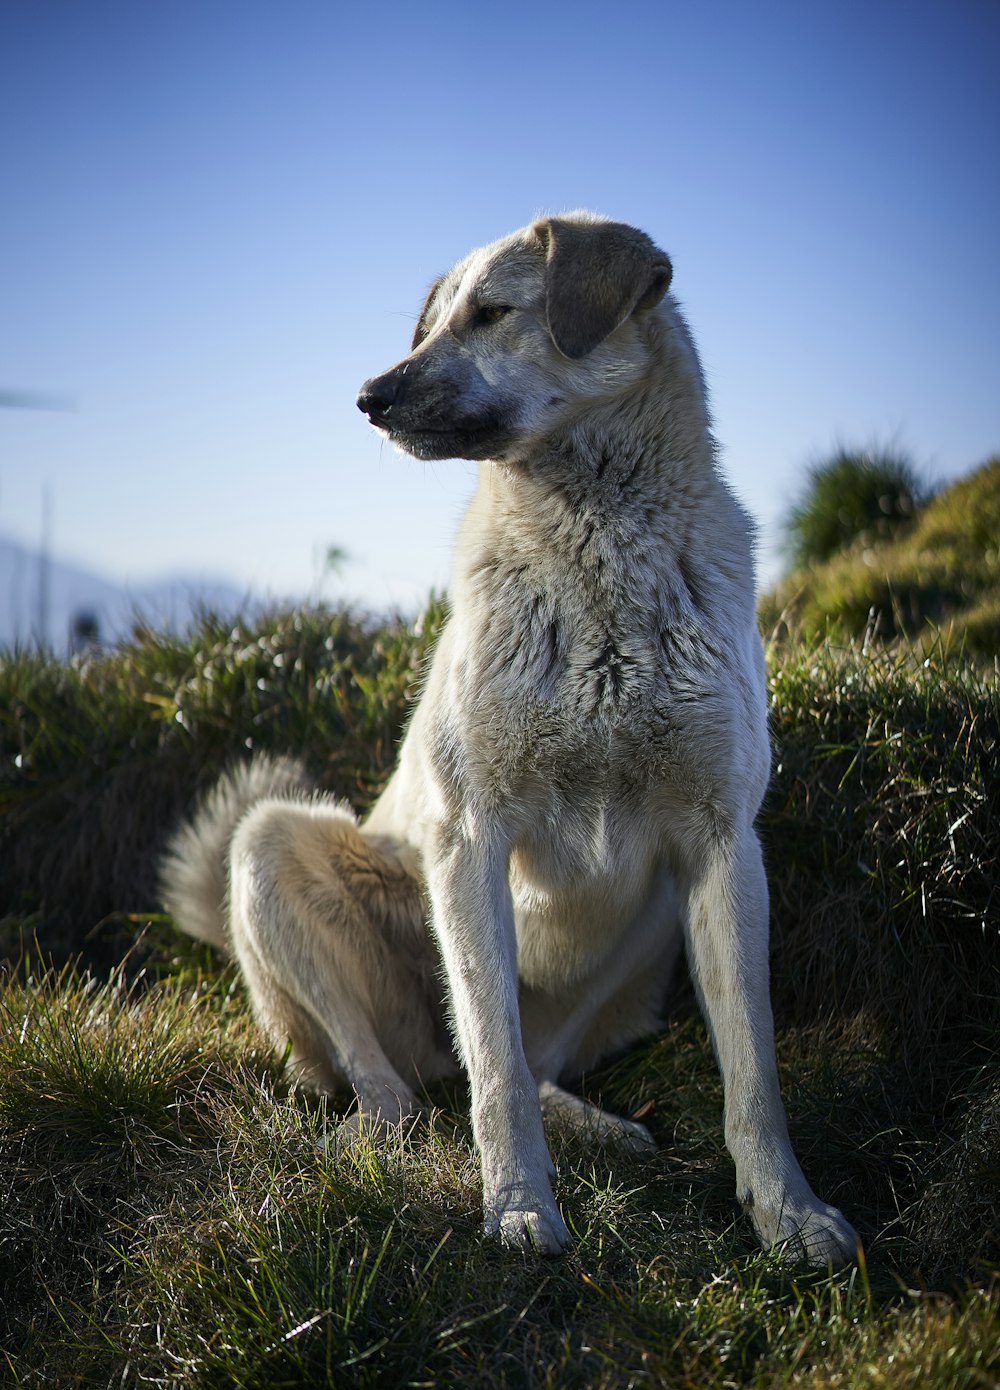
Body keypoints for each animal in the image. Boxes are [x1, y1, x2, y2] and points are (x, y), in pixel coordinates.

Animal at [162, 211, 862, 1267]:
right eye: (429, 325)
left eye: (492, 314)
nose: (368, 396)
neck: (599, 543)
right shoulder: (470, 837)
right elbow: (490, 1057)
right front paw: (520, 1208)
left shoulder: (721, 843)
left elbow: (754, 1068)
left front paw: (790, 1212)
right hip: (274, 853)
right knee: (404, 1080)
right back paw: (374, 1135)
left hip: (650, 927)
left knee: (540, 1066)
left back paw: (600, 1127)